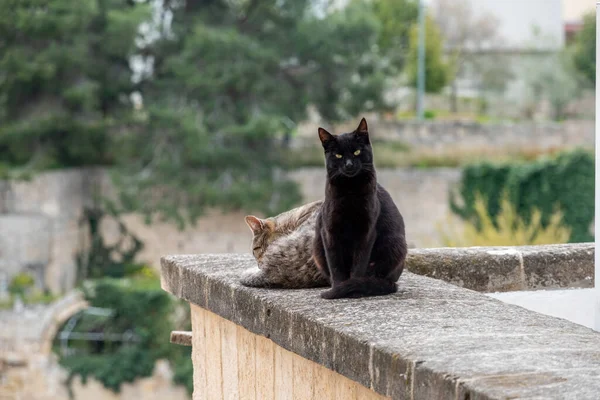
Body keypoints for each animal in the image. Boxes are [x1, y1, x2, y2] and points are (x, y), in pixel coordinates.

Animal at [314, 117, 408, 298]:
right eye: (338, 155)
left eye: (357, 152)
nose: (349, 165)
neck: (350, 191)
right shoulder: (329, 231)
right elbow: (335, 264)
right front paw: (338, 288)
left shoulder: (366, 231)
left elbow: (359, 263)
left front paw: (352, 288)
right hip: (316, 248)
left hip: (396, 244)